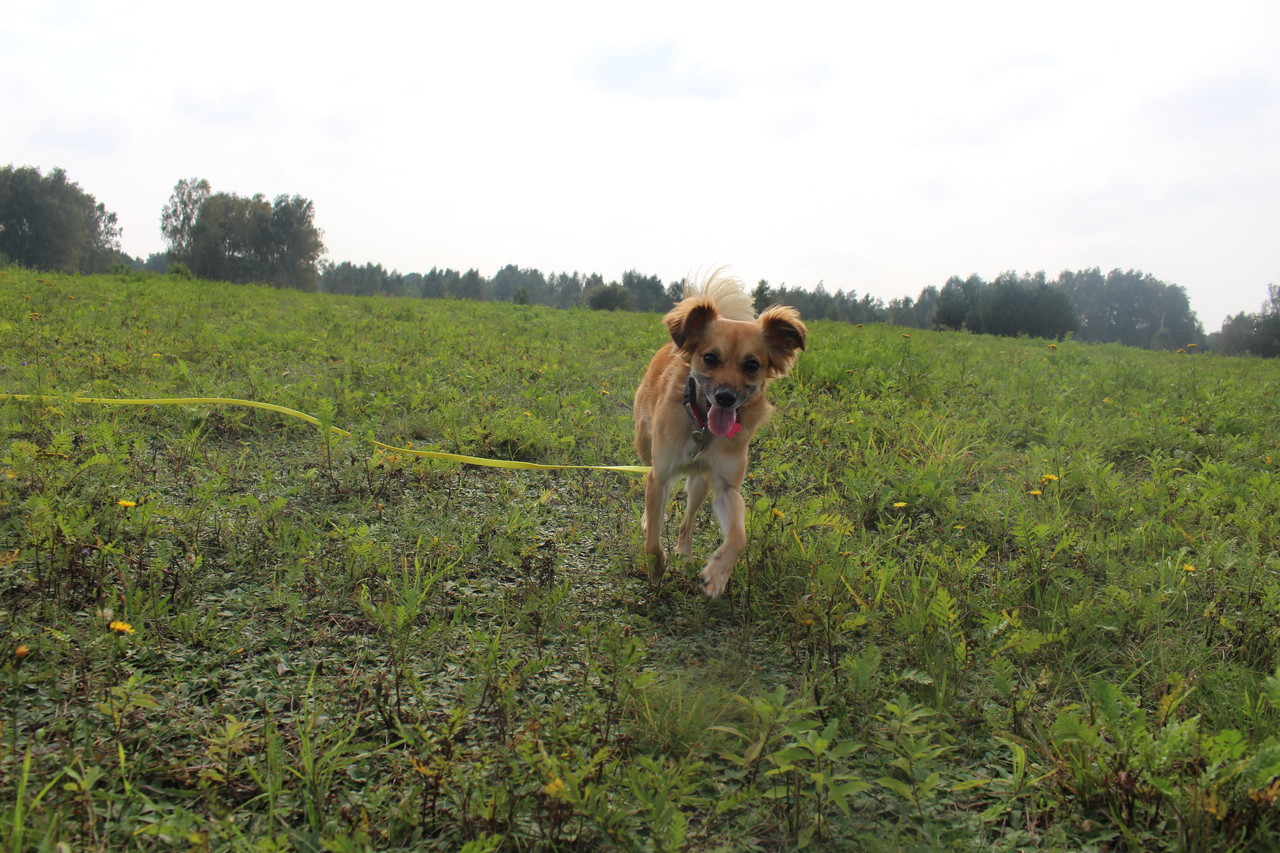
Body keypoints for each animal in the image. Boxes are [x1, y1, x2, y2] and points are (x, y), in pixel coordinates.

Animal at [633, 269, 807, 597]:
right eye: (710, 358)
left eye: (752, 365)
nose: (725, 397)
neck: (701, 424)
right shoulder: (660, 475)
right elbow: (652, 539)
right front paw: (656, 566)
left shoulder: (726, 486)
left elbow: (738, 537)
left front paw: (717, 574)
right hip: (645, 445)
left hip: (700, 482)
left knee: (687, 521)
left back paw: (685, 553)